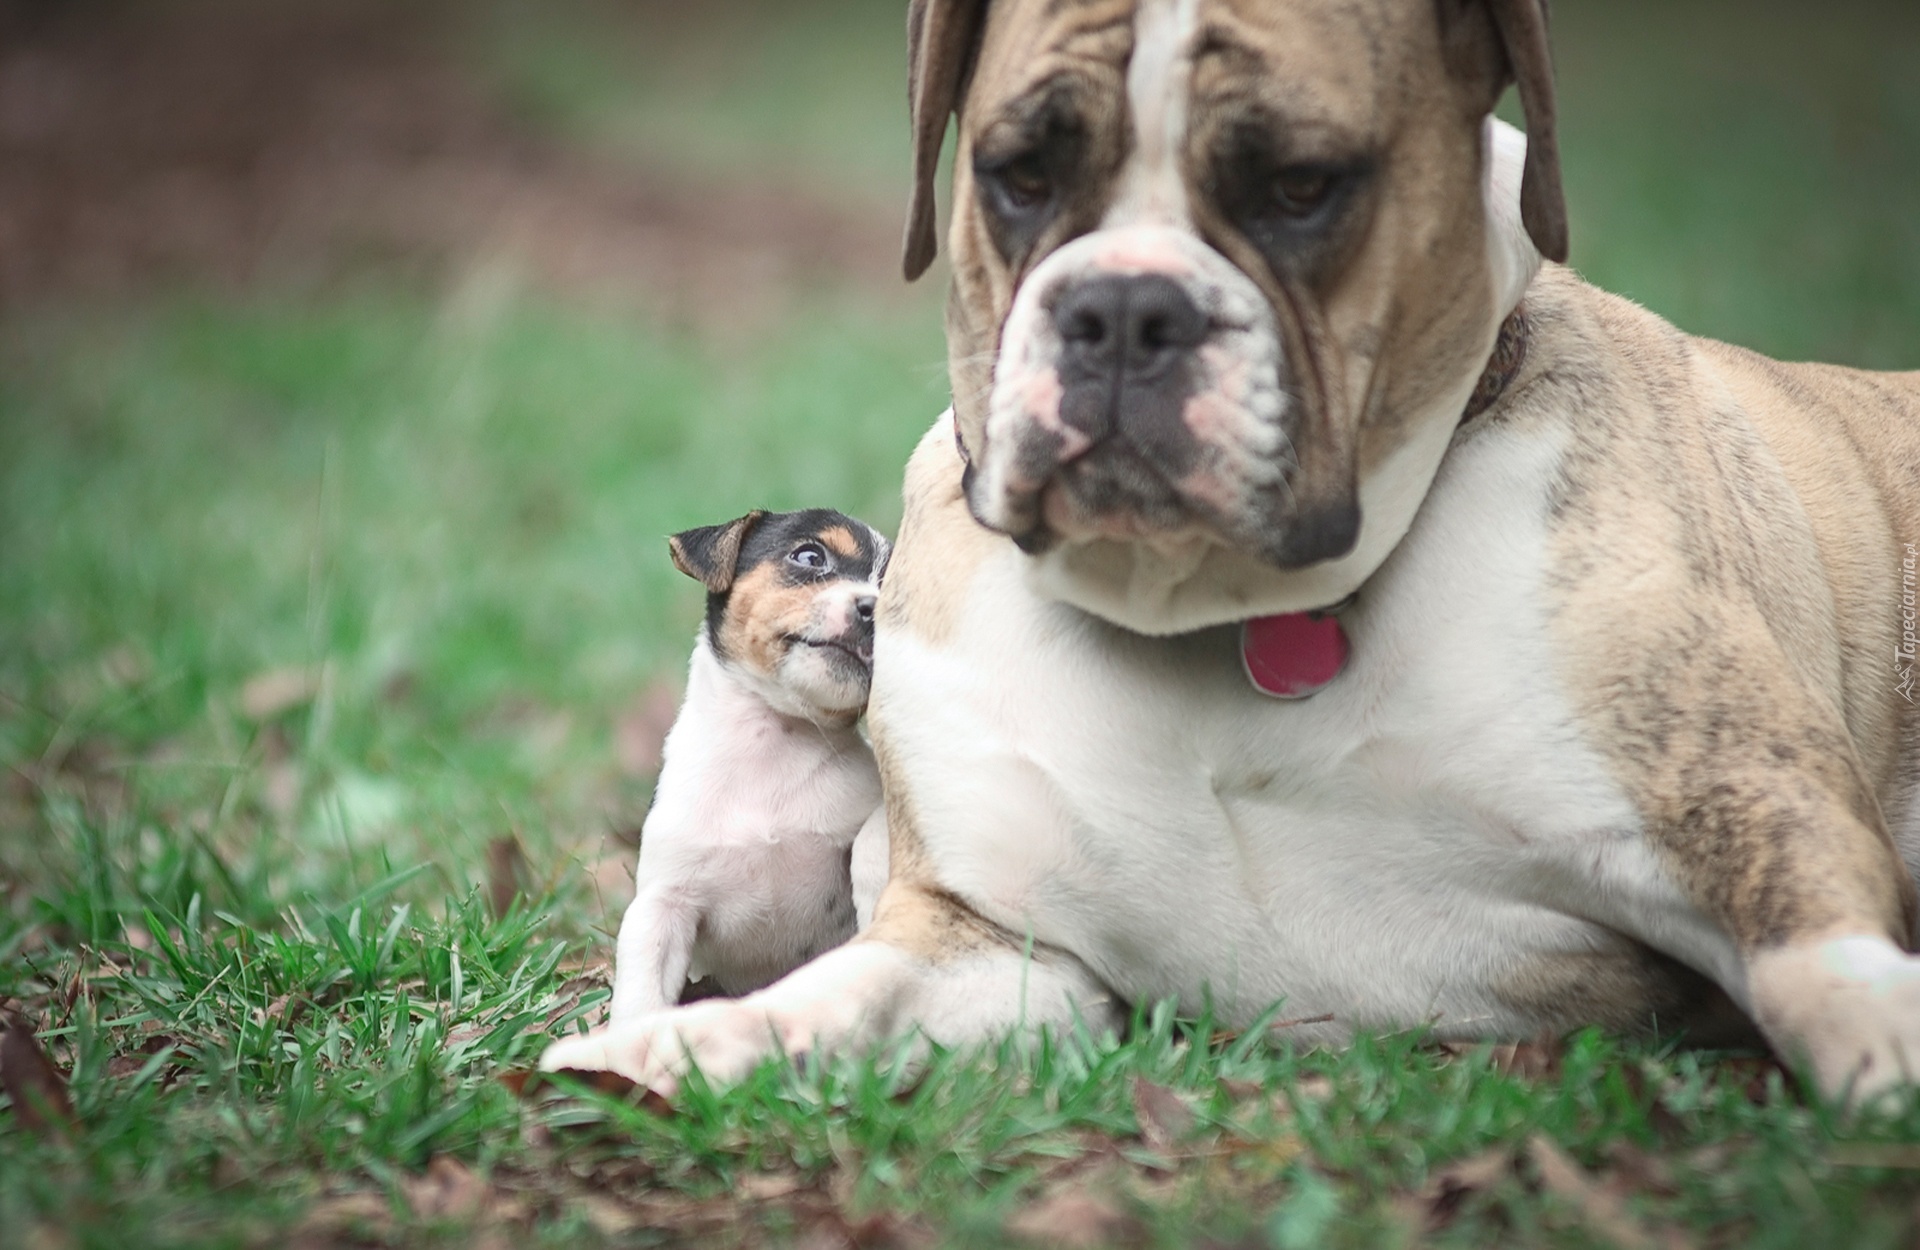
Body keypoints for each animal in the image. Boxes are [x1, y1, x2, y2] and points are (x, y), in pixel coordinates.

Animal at [604, 509, 889, 1023]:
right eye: (810, 557)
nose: (873, 610)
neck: (774, 743)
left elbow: (877, 829)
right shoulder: (662, 904)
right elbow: (642, 989)